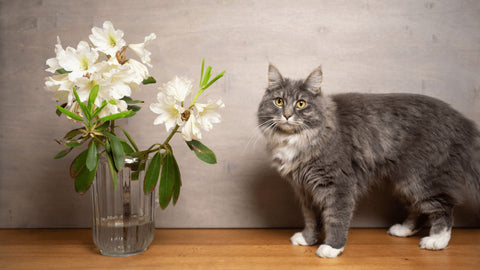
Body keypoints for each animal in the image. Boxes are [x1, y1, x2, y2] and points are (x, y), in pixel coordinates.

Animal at [256, 63, 480, 258]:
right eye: (279, 101)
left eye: (301, 104)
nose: (287, 115)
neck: (297, 139)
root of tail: (460, 119)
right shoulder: (305, 190)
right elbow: (312, 219)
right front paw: (308, 239)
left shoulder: (338, 185)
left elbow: (335, 218)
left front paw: (332, 248)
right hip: (406, 182)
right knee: (421, 210)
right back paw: (403, 230)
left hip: (422, 179)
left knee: (444, 208)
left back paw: (437, 241)